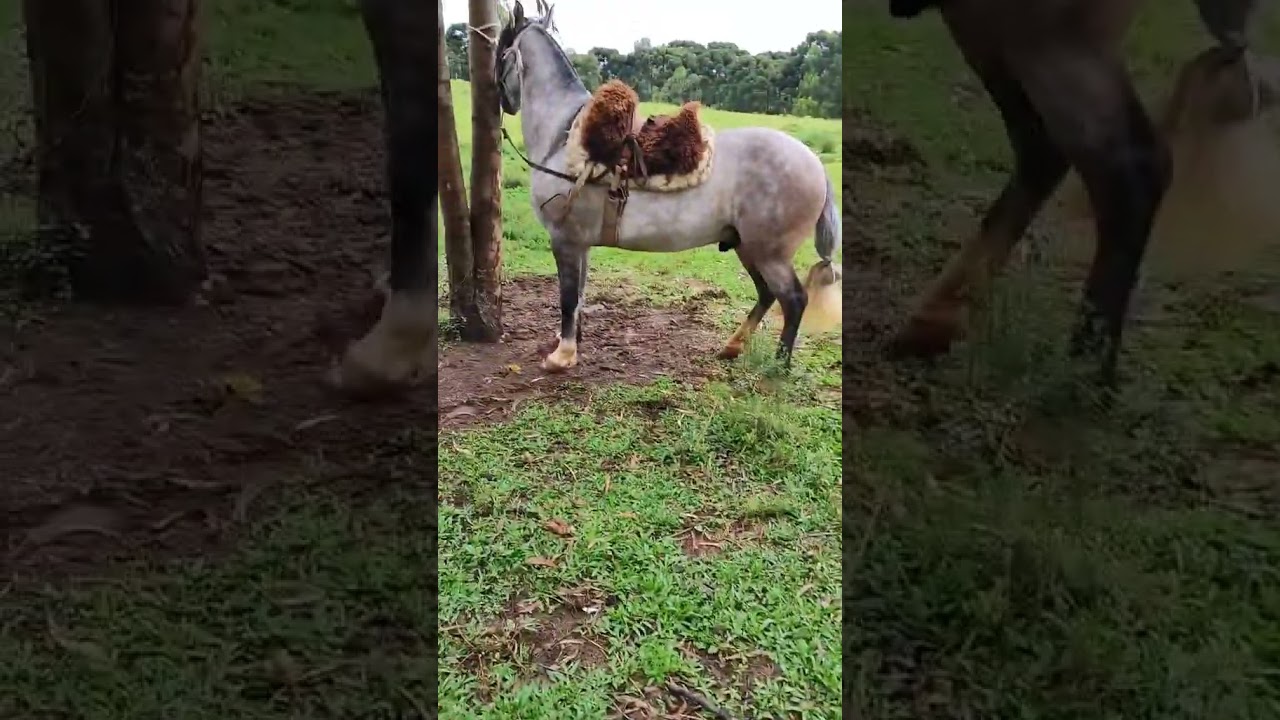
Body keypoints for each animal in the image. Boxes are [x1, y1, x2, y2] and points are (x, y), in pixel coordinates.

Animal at [495, 0, 841, 373]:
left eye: (501, 48)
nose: (503, 101)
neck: (564, 137)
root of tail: (815, 163)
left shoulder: (565, 240)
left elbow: (568, 297)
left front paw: (562, 355)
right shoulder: (580, 244)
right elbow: (579, 296)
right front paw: (572, 343)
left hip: (770, 254)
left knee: (793, 299)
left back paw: (778, 367)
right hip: (748, 247)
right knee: (767, 294)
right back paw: (732, 347)